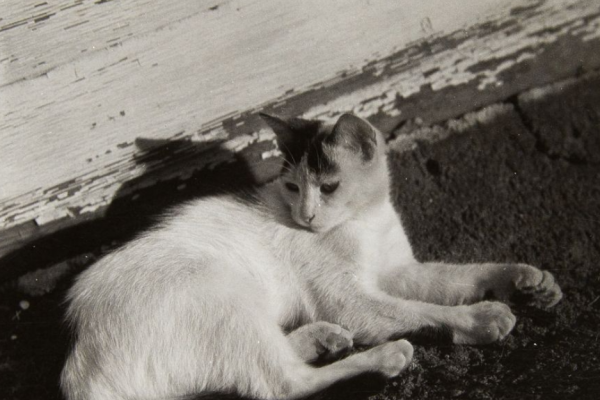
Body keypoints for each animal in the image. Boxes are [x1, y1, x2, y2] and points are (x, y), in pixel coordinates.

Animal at [61, 113, 564, 400]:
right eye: (290, 187)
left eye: (328, 187)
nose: (304, 215)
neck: (365, 220)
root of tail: (82, 359)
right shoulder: (354, 300)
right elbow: (422, 310)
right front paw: (480, 318)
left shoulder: (399, 271)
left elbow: (458, 278)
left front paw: (527, 279)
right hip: (220, 288)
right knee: (282, 384)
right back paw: (381, 356)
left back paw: (320, 338)